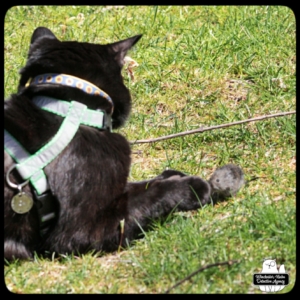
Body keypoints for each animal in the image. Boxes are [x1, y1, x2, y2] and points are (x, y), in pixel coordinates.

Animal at [3, 27, 212, 262]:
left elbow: (136, 188)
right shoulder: (84, 232)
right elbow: (146, 199)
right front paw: (191, 187)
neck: (69, 108)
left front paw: (170, 175)